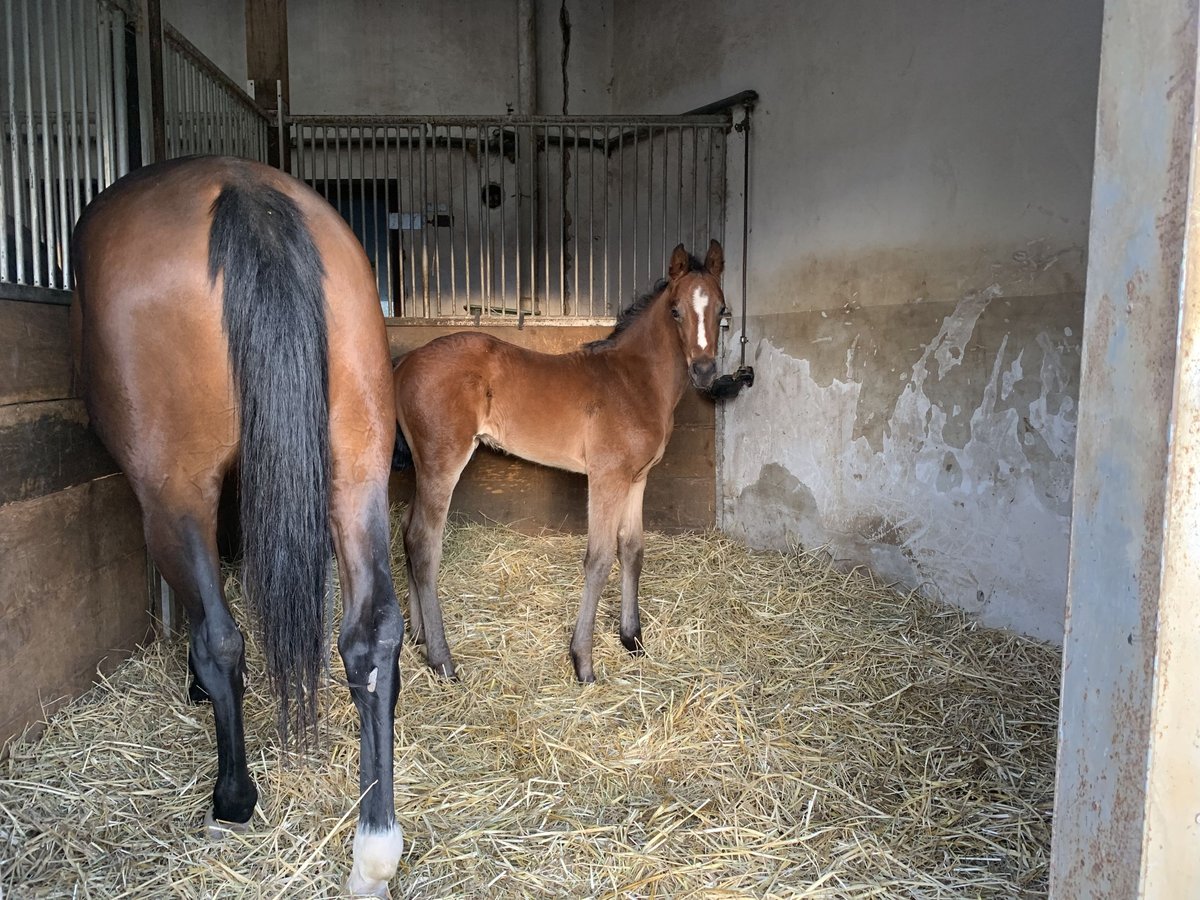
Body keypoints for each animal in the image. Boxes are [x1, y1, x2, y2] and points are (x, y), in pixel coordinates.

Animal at [72, 158, 405, 897]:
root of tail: (242, 190)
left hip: (175, 492)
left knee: (223, 639)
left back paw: (232, 797)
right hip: (357, 468)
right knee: (371, 635)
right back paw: (374, 849)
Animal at [398, 240, 724, 681]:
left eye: (722, 310)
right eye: (675, 310)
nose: (704, 371)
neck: (633, 381)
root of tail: (403, 364)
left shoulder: (637, 479)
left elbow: (632, 550)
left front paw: (632, 639)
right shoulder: (607, 477)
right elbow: (599, 559)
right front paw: (583, 661)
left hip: (423, 466)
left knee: (406, 530)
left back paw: (418, 636)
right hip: (442, 463)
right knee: (424, 543)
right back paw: (441, 659)